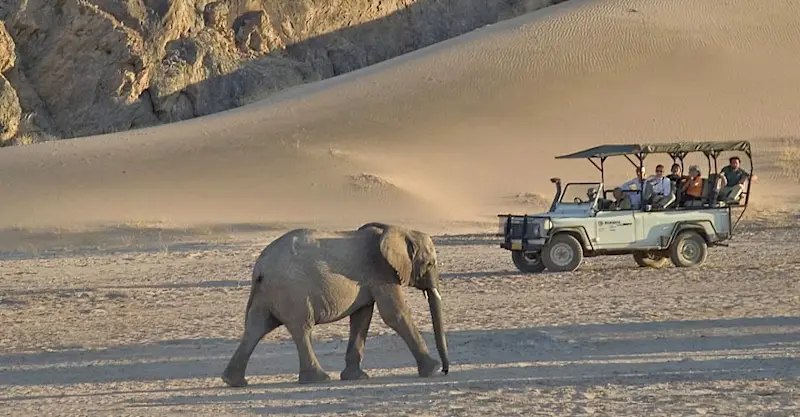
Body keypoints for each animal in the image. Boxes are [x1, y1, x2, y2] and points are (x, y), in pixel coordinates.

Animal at [221, 222, 450, 387]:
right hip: (292, 291)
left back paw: (233, 381)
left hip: (266, 293)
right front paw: (432, 370)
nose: (446, 370)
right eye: (430, 263)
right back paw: (318, 379)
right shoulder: (381, 272)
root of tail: (260, 268)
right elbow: (395, 314)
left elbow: (361, 318)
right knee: (301, 328)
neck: (399, 230)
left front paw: (356, 377)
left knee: (256, 328)